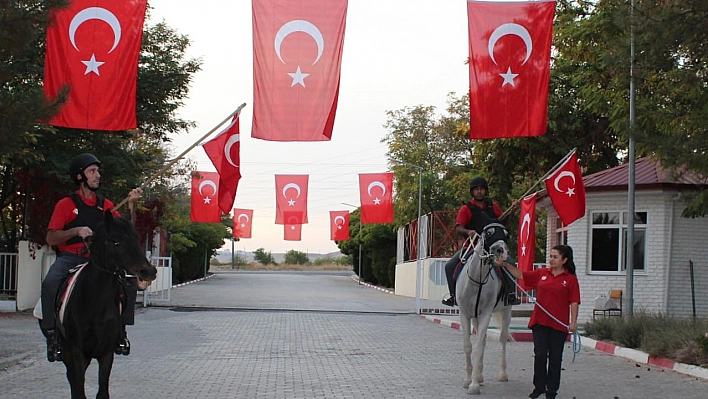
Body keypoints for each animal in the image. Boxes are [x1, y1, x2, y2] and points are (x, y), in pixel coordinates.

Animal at [56, 214, 156, 399]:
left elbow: (102, 391)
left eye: (137, 238)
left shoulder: (106, 352)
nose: (149, 271)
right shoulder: (77, 352)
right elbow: (78, 389)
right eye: (116, 242)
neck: (95, 303)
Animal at [456, 223, 512, 396]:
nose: (501, 251)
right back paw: (480, 376)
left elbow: (479, 347)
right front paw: (469, 380)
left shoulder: (486, 314)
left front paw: (473, 385)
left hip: (506, 312)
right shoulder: (465, 314)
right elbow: (468, 346)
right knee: (485, 338)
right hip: (475, 317)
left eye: (507, 234)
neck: (477, 279)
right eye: (489, 233)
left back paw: (502, 374)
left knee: (503, 338)